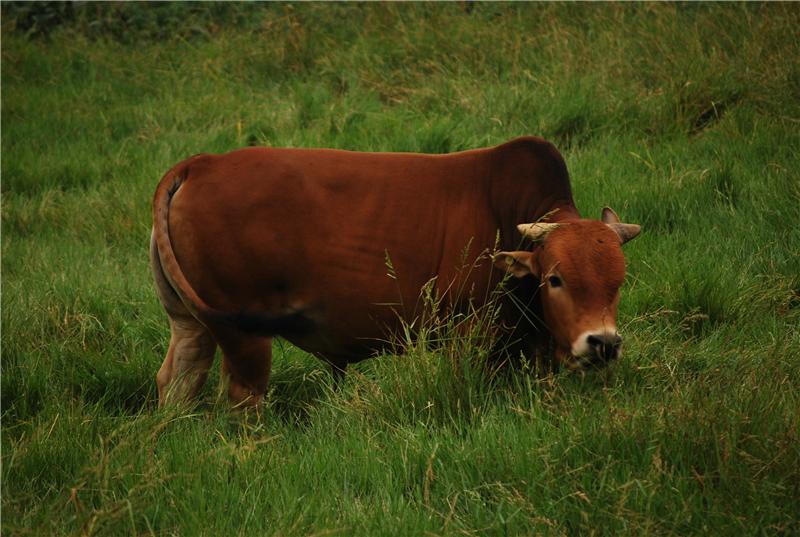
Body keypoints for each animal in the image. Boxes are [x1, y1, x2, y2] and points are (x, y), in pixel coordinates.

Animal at [150, 136, 636, 404]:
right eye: (555, 278)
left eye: (618, 283)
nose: (603, 343)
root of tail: (202, 162)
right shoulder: (468, 336)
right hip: (244, 336)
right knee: (242, 396)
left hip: (190, 323)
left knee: (177, 380)